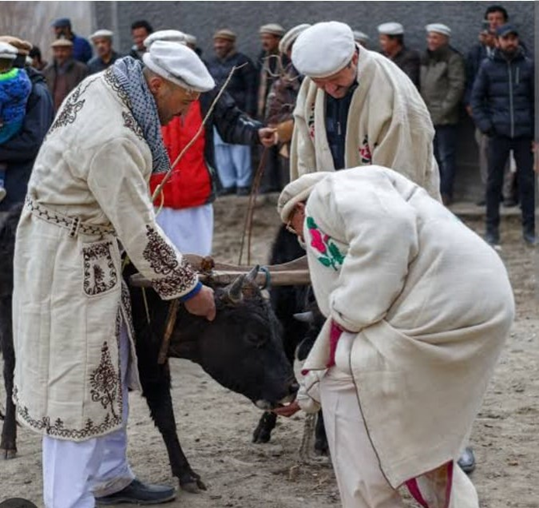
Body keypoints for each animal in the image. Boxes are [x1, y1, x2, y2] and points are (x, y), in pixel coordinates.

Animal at [0, 204, 296, 494]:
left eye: (279, 330)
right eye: (254, 336)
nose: (292, 387)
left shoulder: (152, 362)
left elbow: (164, 415)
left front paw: (182, 473)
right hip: (13, 332)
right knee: (11, 378)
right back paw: (9, 440)